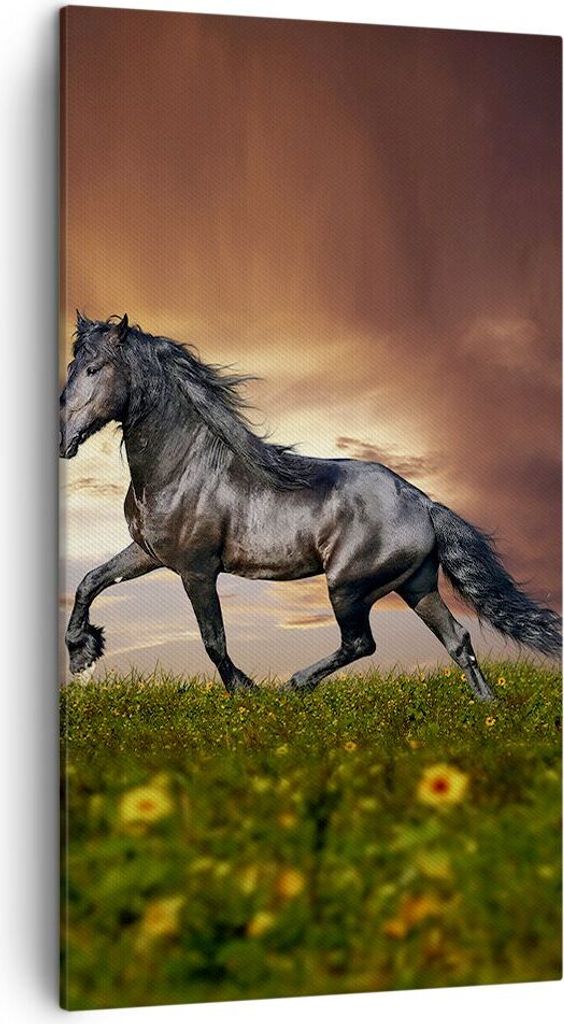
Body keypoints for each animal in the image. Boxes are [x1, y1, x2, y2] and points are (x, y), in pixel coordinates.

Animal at [59, 313, 561, 698]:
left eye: (94, 368)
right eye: (72, 365)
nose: (64, 438)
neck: (183, 467)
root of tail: (423, 502)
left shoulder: (196, 570)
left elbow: (213, 640)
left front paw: (246, 691)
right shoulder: (149, 553)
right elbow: (90, 581)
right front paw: (83, 652)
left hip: (348, 586)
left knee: (361, 644)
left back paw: (295, 684)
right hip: (416, 585)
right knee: (457, 640)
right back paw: (488, 708)